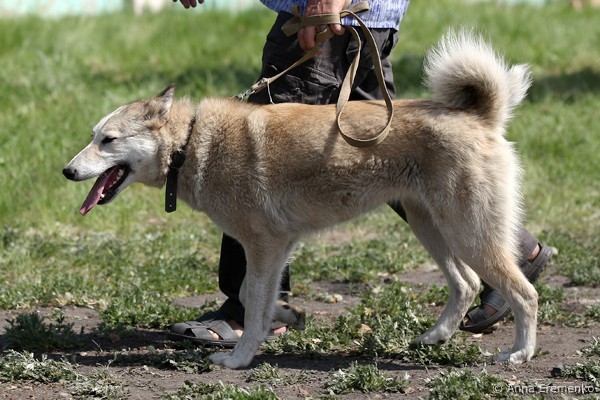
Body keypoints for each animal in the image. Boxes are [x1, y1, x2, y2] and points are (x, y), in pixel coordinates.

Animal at [63, 31, 538, 369]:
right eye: (93, 136)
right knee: (466, 283)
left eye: (108, 140)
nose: (67, 171)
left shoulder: (263, 245)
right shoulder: (278, 246)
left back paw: (518, 353)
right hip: (431, 225)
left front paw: (238, 359)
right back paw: (435, 338)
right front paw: (286, 317)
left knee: (524, 292)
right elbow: (255, 295)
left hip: (467, 231)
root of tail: (479, 115)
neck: (192, 143)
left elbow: (252, 299)